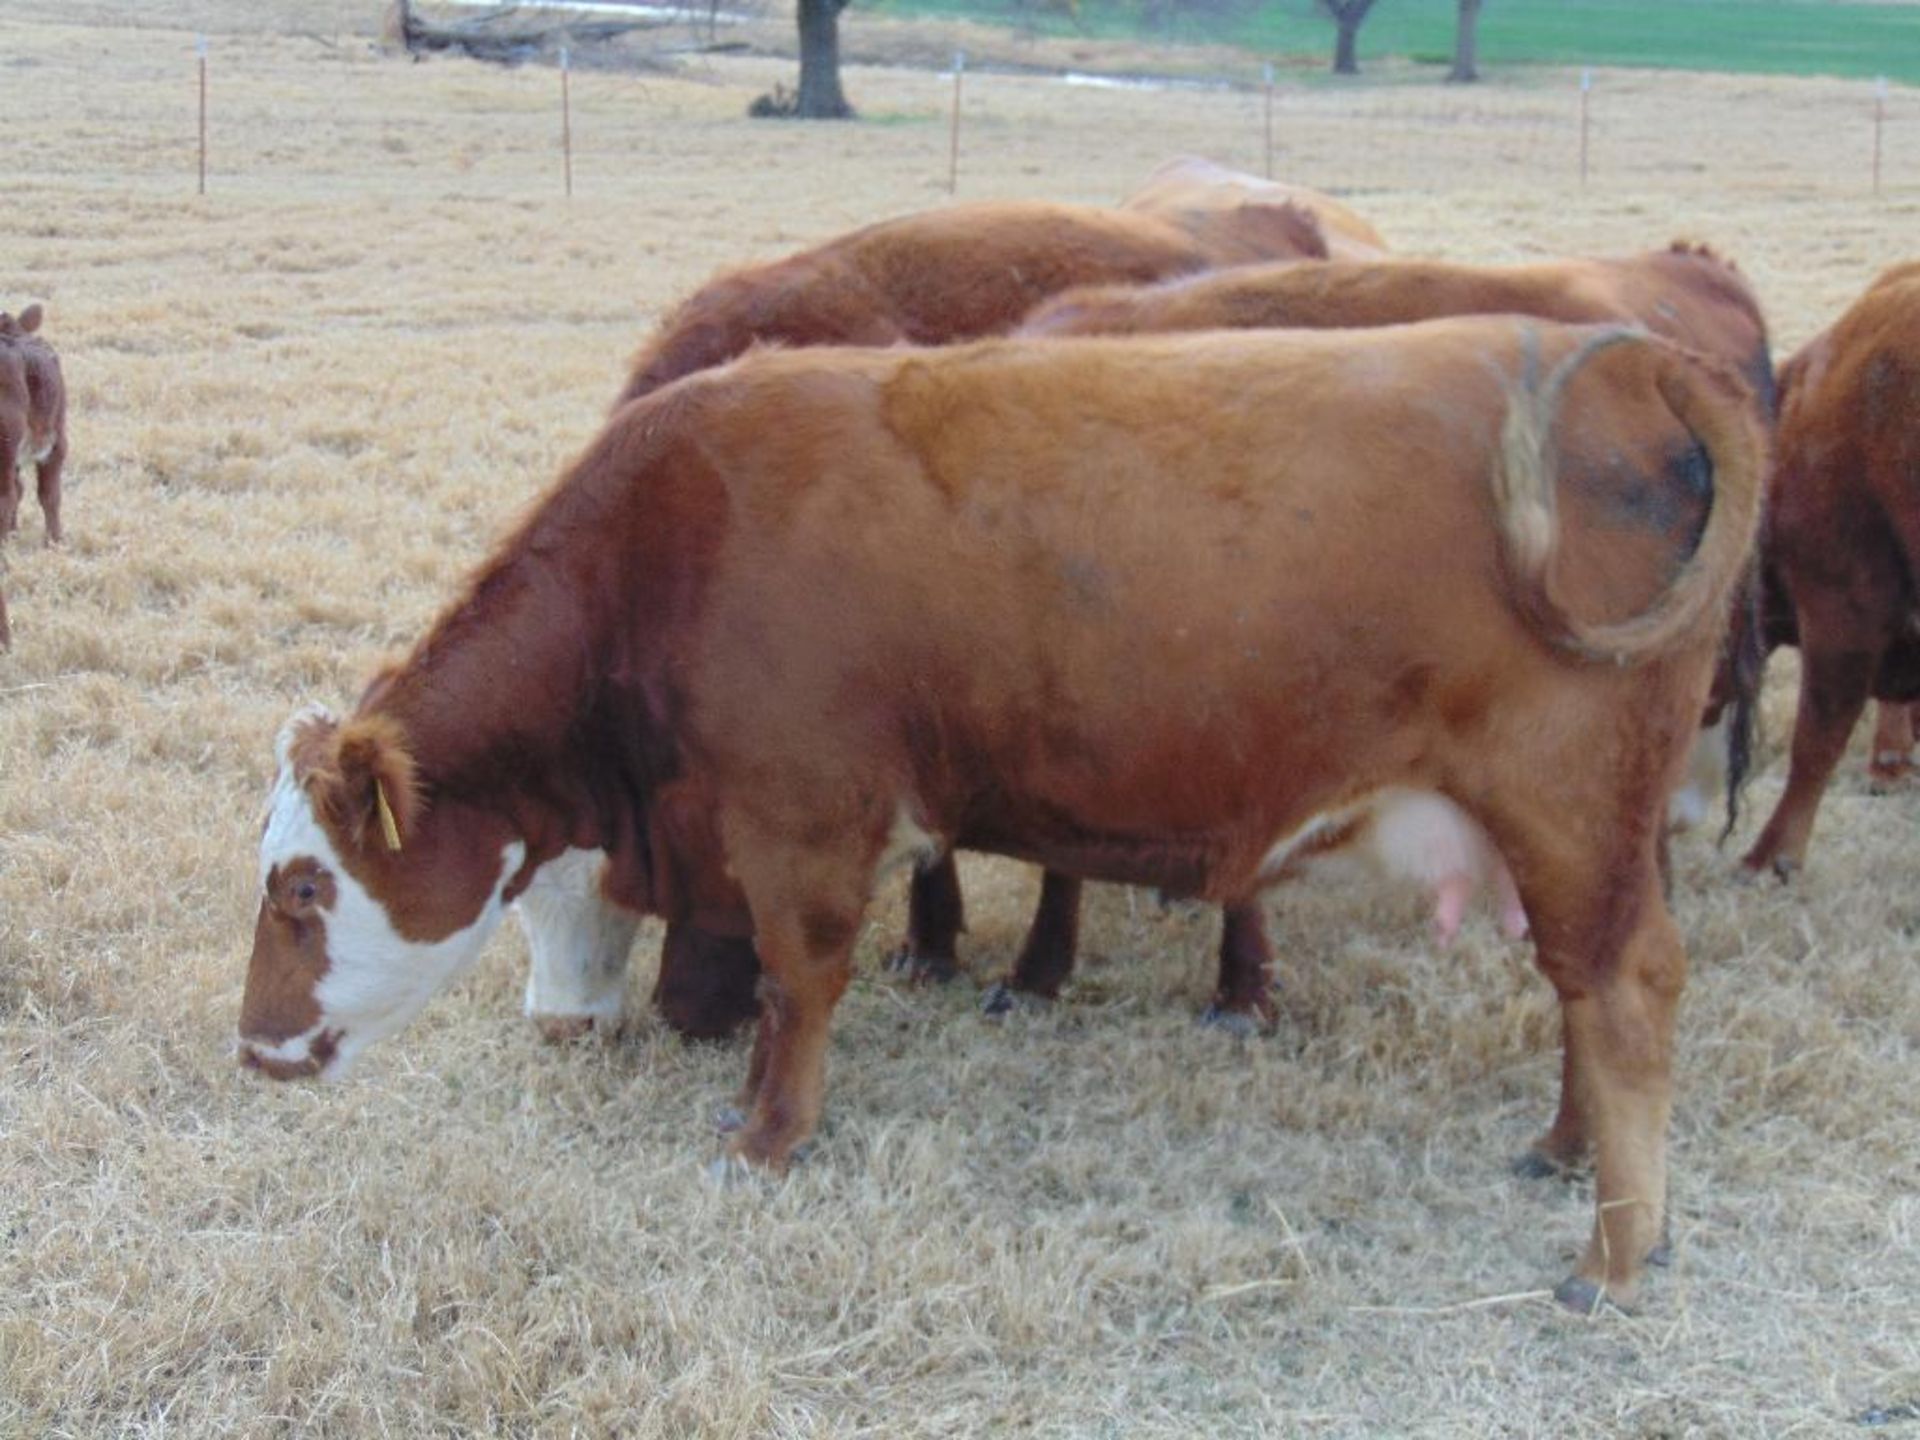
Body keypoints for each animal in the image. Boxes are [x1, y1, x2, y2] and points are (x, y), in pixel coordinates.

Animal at [243, 320, 1766, 1313]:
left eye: (305, 888)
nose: (252, 1050)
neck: (682, 533)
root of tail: (1635, 364)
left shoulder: (802, 816)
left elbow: (800, 979)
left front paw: (768, 1137)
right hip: (1597, 833)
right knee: (1584, 990)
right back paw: (1568, 1153)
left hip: (1566, 805)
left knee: (1625, 989)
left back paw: (1615, 1254)